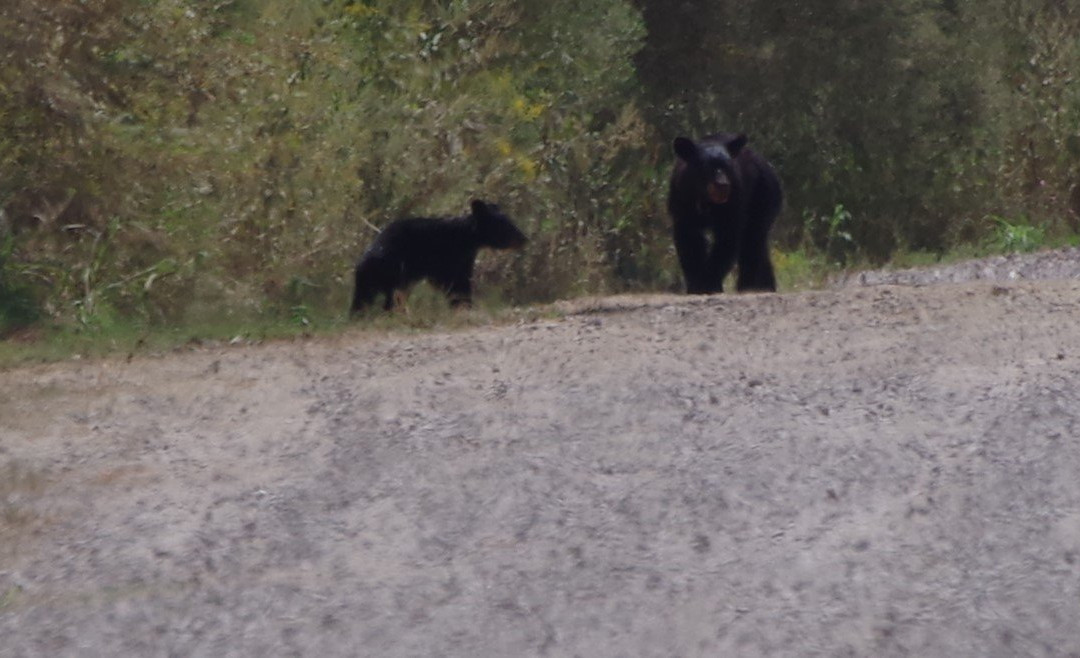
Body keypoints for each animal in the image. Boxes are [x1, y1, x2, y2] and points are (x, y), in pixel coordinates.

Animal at [349, 198, 527, 313]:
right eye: (506, 226)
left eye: (511, 222)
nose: (524, 238)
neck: (467, 237)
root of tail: (363, 261)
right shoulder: (449, 256)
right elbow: (457, 282)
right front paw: (465, 304)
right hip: (393, 269)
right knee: (388, 298)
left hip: (372, 279)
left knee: (363, 298)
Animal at [660, 133, 781, 291]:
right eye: (706, 167)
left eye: (727, 167)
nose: (722, 185)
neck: (706, 199)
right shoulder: (682, 200)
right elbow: (689, 239)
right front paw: (695, 284)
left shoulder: (735, 200)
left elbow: (727, 238)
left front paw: (710, 283)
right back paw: (765, 285)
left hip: (763, 194)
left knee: (752, 240)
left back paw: (748, 286)